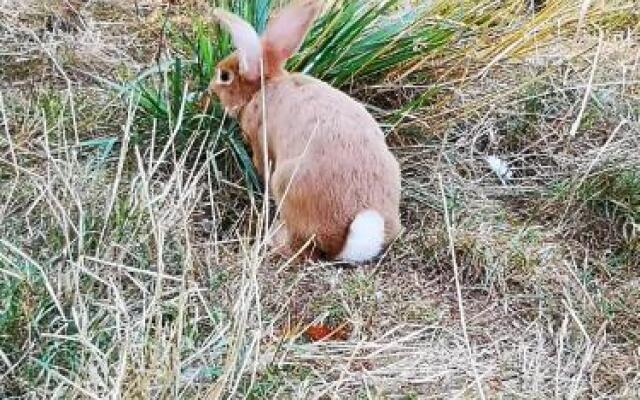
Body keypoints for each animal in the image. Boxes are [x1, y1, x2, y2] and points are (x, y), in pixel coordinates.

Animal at [208, 0, 400, 262]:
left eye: (225, 76)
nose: (210, 88)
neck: (265, 86)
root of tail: (344, 242)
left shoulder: (260, 142)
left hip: (284, 183)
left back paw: (273, 239)